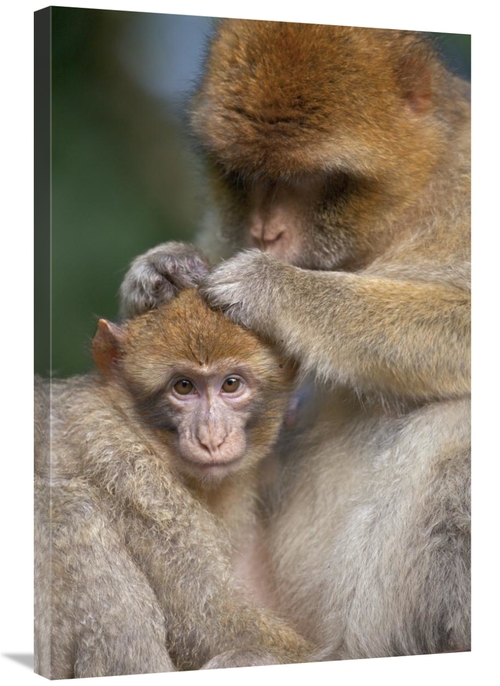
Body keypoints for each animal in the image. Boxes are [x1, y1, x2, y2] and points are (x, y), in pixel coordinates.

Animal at [34, 287, 313, 679]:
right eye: (183, 387)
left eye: (231, 384)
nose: (211, 437)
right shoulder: (131, 475)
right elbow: (214, 624)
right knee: (68, 509)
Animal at [119, 22, 471, 659]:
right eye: (246, 177)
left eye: (308, 180)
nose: (266, 232)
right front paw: (159, 272)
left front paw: (273, 290)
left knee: (456, 422)